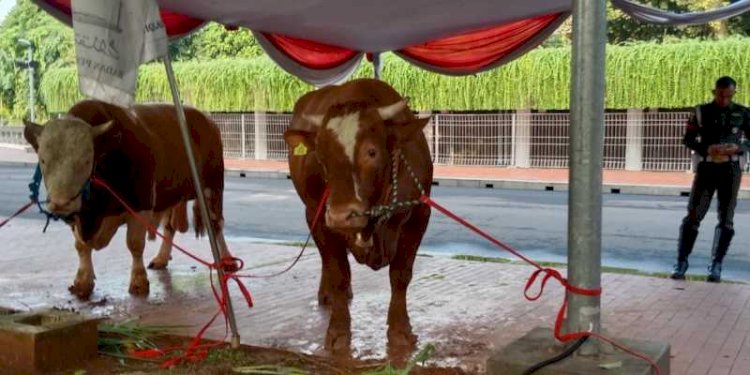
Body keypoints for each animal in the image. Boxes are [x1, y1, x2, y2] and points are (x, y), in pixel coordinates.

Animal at [23, 100, 229, 300]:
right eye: (43, 160)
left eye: (86, 161)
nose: (61, 203)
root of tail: (206, 119)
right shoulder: (80, 215)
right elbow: (81, 246)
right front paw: (83, 281)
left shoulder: (141, 205)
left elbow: (135, 244)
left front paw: (139, 281)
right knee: (169, 227)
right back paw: (162, 257)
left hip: (213, 187)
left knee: (216, 224)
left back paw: (226, 259)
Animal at [284, 79, 434, 358]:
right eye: (321, 156)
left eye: (372, 152)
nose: (342, 215)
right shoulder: (319, 217)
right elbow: (339, 275)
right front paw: (338, 332)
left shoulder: (419, 215)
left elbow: (401, 274)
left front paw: (400, 331)